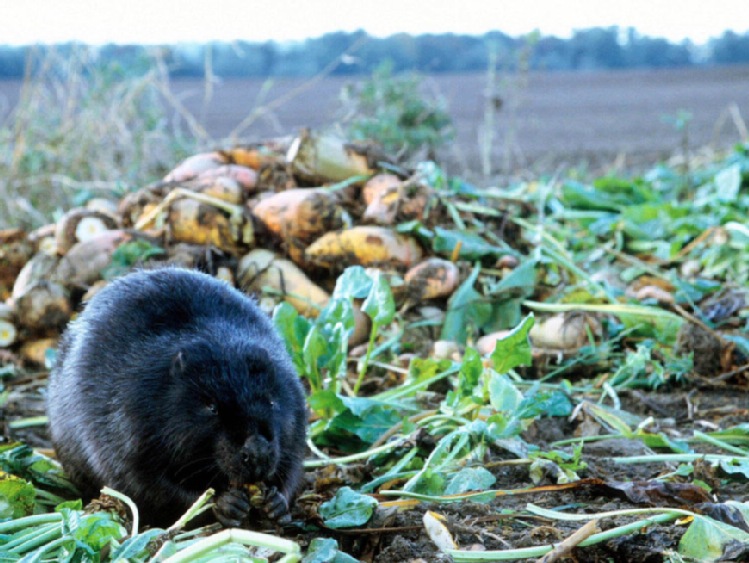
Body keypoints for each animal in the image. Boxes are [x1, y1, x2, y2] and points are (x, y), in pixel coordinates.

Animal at [45, 268, 306, 528]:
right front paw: (227, 503)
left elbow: (294, 461)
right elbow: (147, 486)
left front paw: (277, 502)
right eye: (211, 407)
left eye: (272, 401)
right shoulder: (127, 420)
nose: (257, 451)